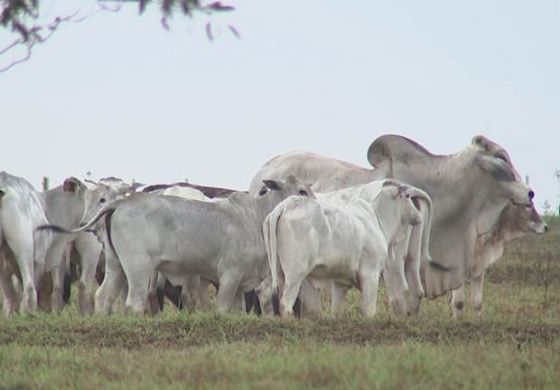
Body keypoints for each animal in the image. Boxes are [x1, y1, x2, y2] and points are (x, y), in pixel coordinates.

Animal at [264, 180, 422, 316]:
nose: (419, 215)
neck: (377, 218)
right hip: (295, 275)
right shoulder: (370, 275)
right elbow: (369, 311)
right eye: (407, 196)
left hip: (279, 274)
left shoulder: (340, 282)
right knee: (285, 304)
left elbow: (336, 311)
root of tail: (285, 206)